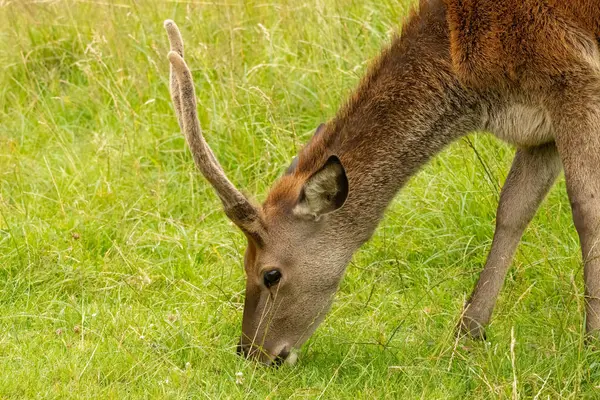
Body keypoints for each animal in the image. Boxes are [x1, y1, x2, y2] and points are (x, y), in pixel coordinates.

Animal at [162, 0, 600, 366]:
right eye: (243, 262)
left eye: (271, 274)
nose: (250, 353)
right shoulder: (537, 128)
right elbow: (512, 210)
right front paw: (467, 334)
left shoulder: (574, 76)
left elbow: (586, 210)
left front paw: (591, 342)